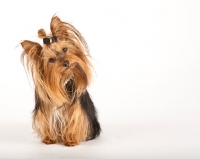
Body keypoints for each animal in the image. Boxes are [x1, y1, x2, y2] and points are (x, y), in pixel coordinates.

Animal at [20, 15, 100, 146]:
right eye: (51, 60)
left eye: (65, 49)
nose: (66, 63)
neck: (62, 81)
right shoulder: (46, 109)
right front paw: (49, 138)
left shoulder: (76, 109)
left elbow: (74, 120)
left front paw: (71, 139)